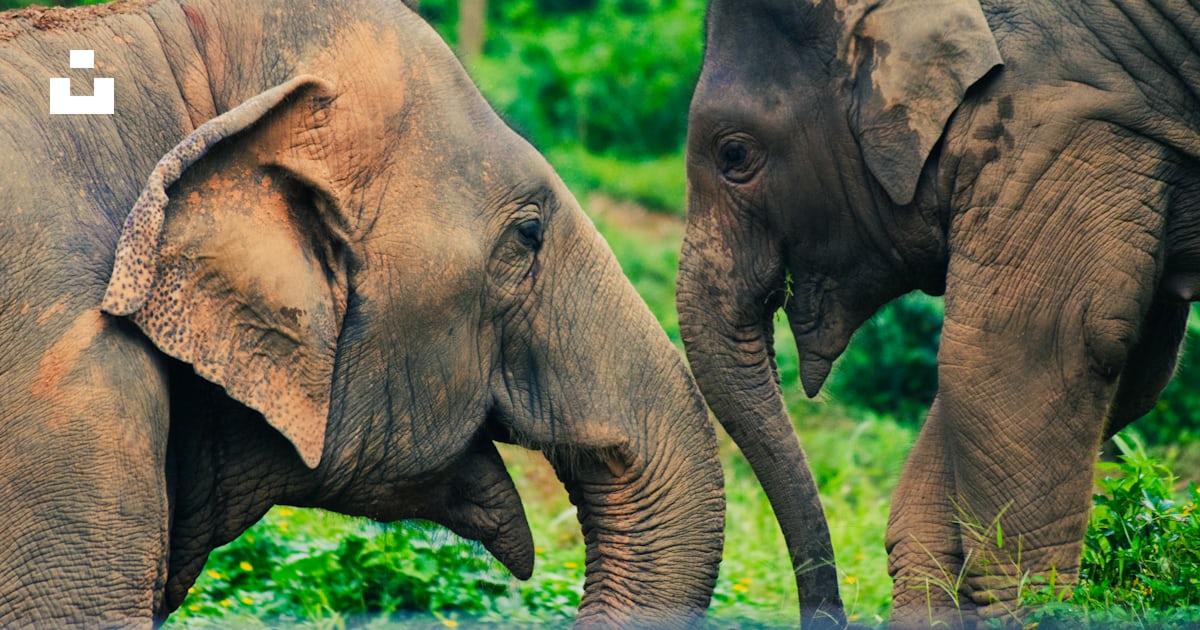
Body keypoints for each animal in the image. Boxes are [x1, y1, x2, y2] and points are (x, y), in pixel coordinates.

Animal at [678, 0, 1200, 626]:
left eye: (734, 155)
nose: (832, 614)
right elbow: (1136, 364)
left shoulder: (1067, 114)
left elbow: (1017, 353)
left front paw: (1030, 611)